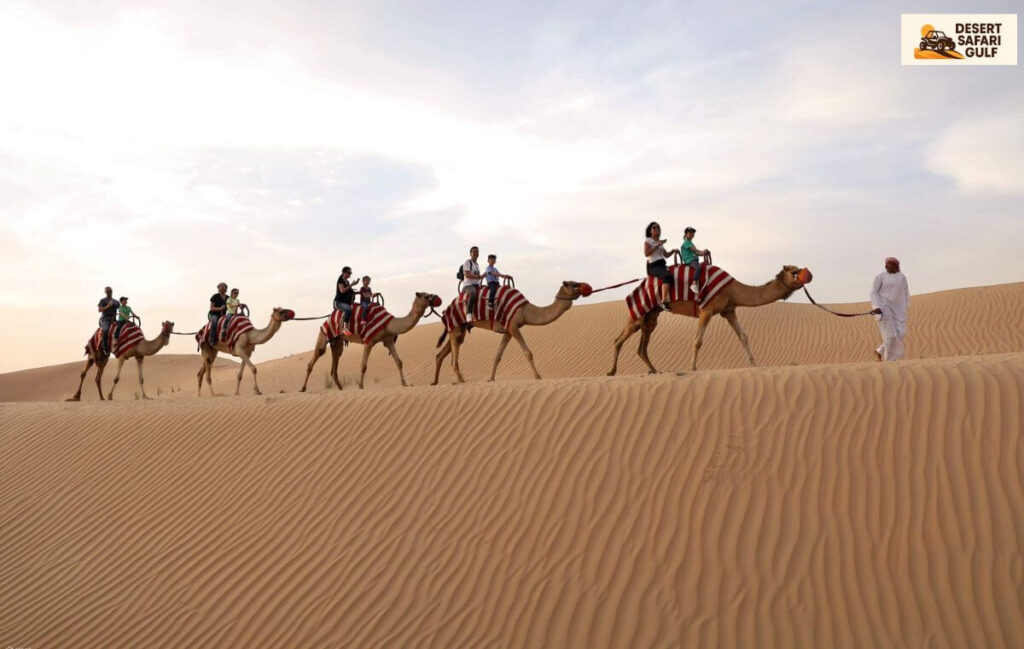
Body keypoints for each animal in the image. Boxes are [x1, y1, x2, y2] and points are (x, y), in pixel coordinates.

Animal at [299, 292, 442, 392]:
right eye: (426, 296)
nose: (438, 298)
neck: (389, 324)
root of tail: (329, 317)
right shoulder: (369, 341)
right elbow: (364, 365)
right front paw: (361, 386)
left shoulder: (388, 340)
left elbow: (399, 362)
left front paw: (405, 384)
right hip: (324, 332)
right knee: (315, 358)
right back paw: (302, 388)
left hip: (337, 341)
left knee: (335, 362)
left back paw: (340, 389)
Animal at [432, 281, 588, 384]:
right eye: (572, 284)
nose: (585, 287)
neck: (525, 310)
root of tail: (447, 308)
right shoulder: (513, 326)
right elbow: (528, 353)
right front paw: (538, 377)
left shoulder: (508, 330)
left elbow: (498, 356)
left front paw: (491, 378)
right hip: (456, 326)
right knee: (454, 354)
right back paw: (461, 380)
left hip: (460, 328)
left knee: (441, 354)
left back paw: (435, 382)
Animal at [608, 265, 810, 375]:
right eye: (794, 271)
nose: (807, 275)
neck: (733, 289)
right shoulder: (707, 310)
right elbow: (697, 341)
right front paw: (693, 368)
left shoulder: (729, 310)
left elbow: (743, 336)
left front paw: (755, 364)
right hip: (641, 310)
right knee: (619, 339)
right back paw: (611, 372)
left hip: (652, 315)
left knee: (642, 346)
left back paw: (655, 370)